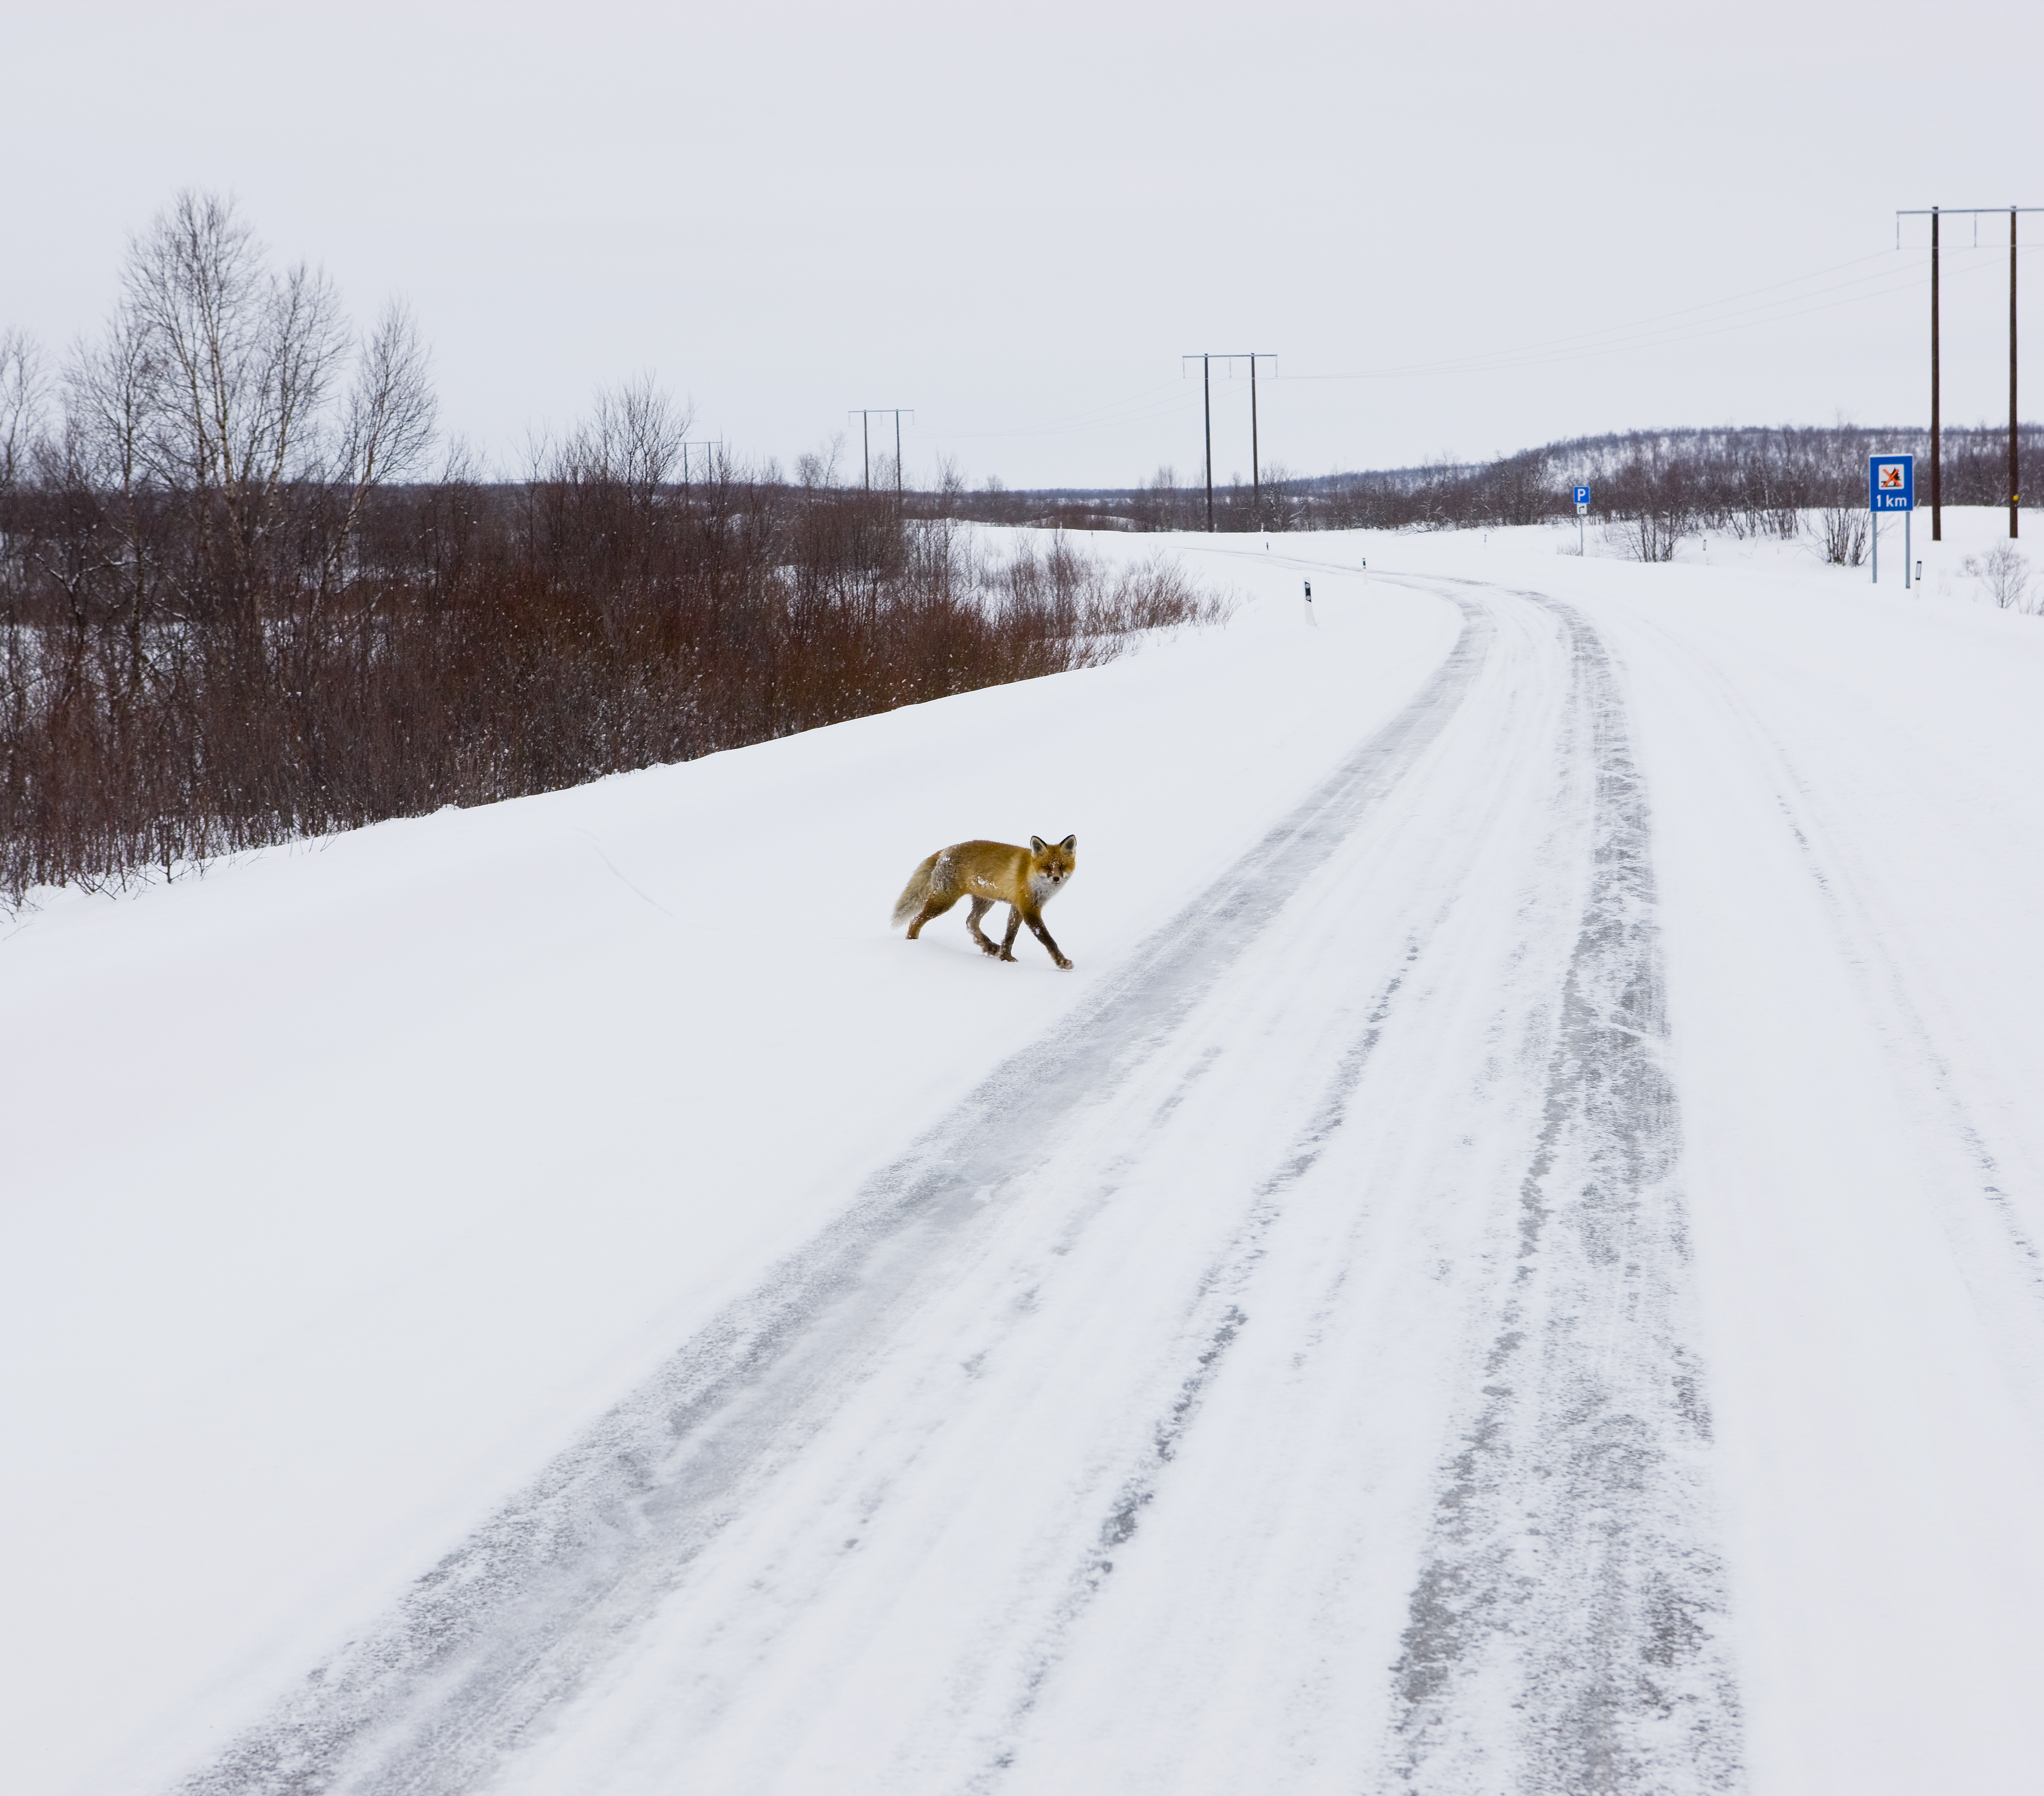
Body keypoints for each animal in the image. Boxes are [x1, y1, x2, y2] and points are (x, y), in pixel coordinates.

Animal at [899, 838, 1087, 976]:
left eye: (1062, 867)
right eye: (1047, 867)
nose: (1056, 879)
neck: (1030, 874)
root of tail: (946, 850)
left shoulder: (1018, 907)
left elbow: (1010, 935)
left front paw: (1005, 957)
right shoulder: (1029, 910)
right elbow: (1049, 940)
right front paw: (1063, 963)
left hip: (985, 901)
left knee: (970, 922)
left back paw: (989, 947)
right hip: (944, 901)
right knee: (916, 920)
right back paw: (912, 945)